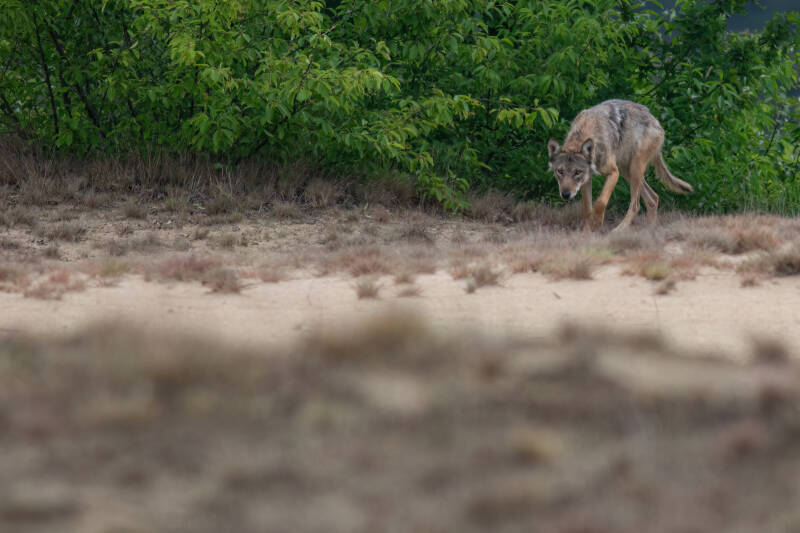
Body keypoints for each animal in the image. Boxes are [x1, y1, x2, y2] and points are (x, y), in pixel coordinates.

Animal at [547, 99, 693, 231]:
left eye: (577, 172)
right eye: (560, 171)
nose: (565, 194)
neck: (585, 132)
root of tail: (656, 121)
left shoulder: (613, 173)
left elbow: (600, 201)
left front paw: (597, 223)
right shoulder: (587, 180)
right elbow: (587, 209)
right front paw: (586, 232)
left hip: (634, 169)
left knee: (636, 205)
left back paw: (618, 231)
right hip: (627, 171)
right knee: (653, 198)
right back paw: (649, 232)